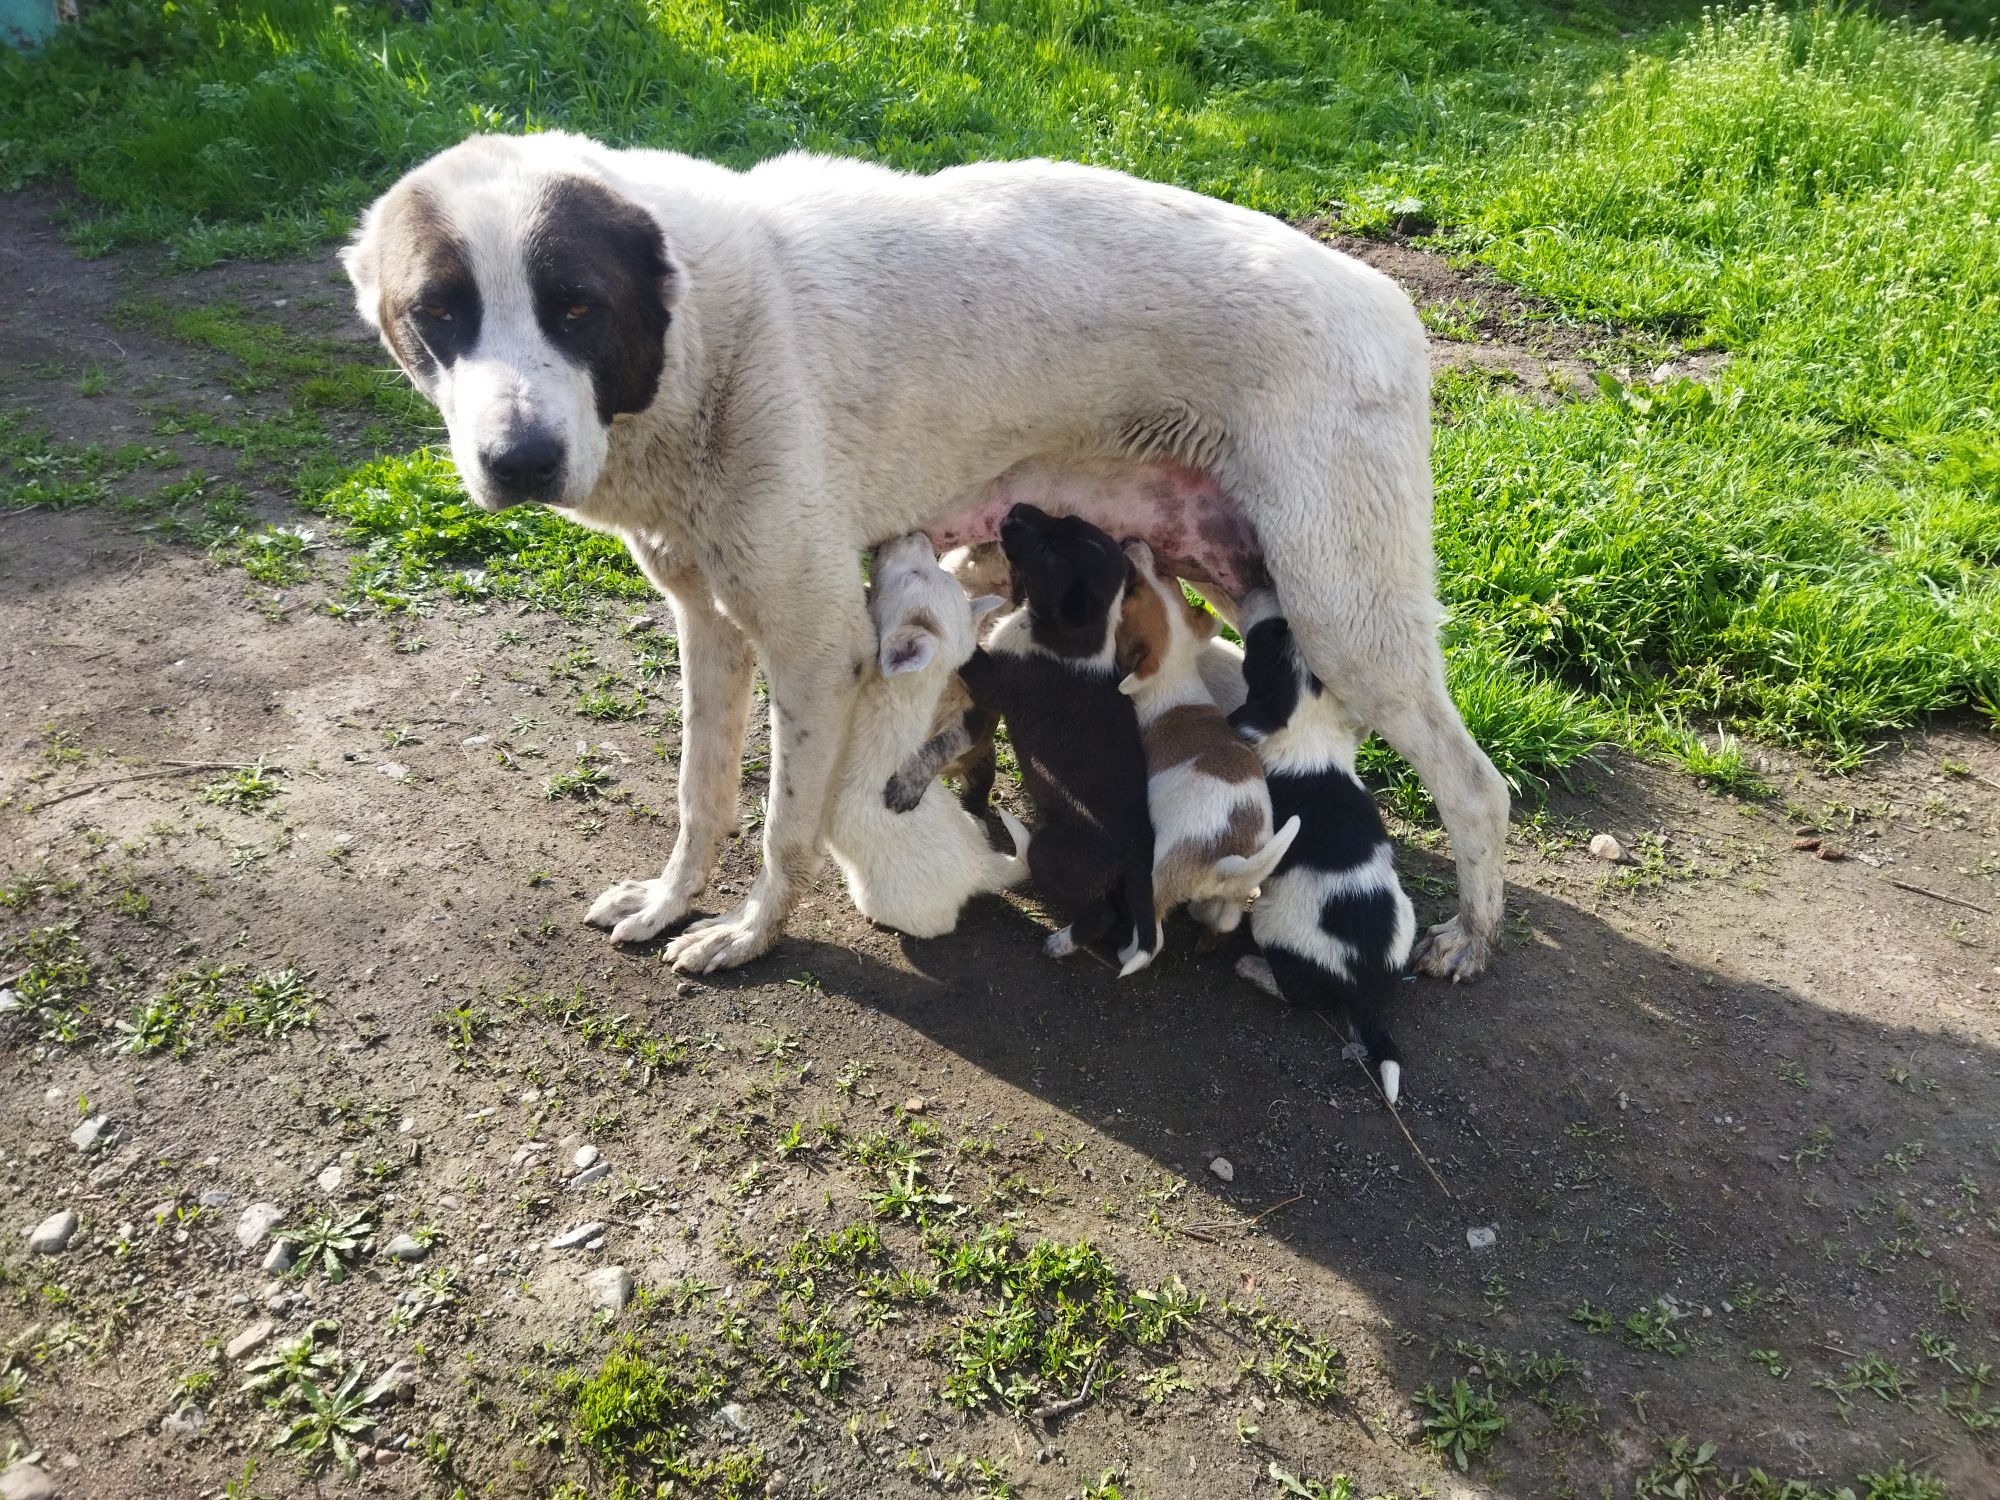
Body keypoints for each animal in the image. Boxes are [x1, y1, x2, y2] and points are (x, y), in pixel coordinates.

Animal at [888, 500, 1160, 980]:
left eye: (1048, 550)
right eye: (1064, 522)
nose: (1013, 507)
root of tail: (1139, 853)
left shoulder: (989, 688)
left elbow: (966, 654)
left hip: (1049, 854)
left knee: (1098, 913)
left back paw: (1060, 942)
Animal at [1112, 540, 1296, 940]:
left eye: (1130, 590)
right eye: (1166, 576)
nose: (1136, 543)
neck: (1174, 674)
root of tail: (1226, 860)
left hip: (1159, 876)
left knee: (1152, 934)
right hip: (1234, 891)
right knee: (1225, 918)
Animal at [1224, 592, 1416, 1112]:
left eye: (1261, 645)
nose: (1272, 603)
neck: (1309, 733)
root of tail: (1365, 987)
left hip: (1273, 930)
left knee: (1298, 994)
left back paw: (1252, 968)